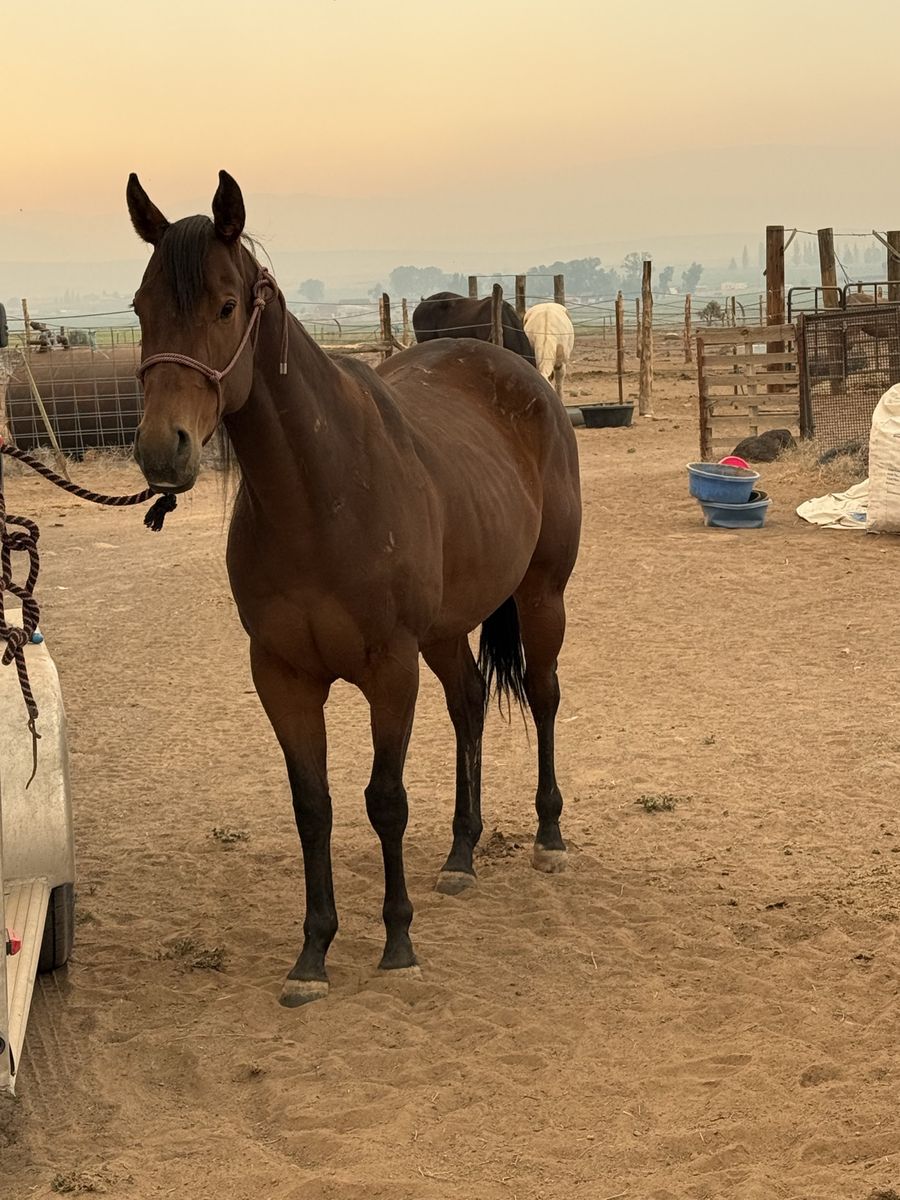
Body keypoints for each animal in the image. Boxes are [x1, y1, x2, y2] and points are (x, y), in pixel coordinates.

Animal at [126, 171, 582, 1007]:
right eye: (142, 308)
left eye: (225, 305)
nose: (159, 450)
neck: (320, 494)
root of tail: (520, 370)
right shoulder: (282, 676)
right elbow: (314, 807)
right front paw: (312, 953)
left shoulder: (388, 669)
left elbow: (384, 800)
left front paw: (397, 941)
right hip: (446, 630)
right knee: (469, 703)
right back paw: (461, 855)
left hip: (542, 596)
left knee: (543, 695)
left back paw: (549, 836)